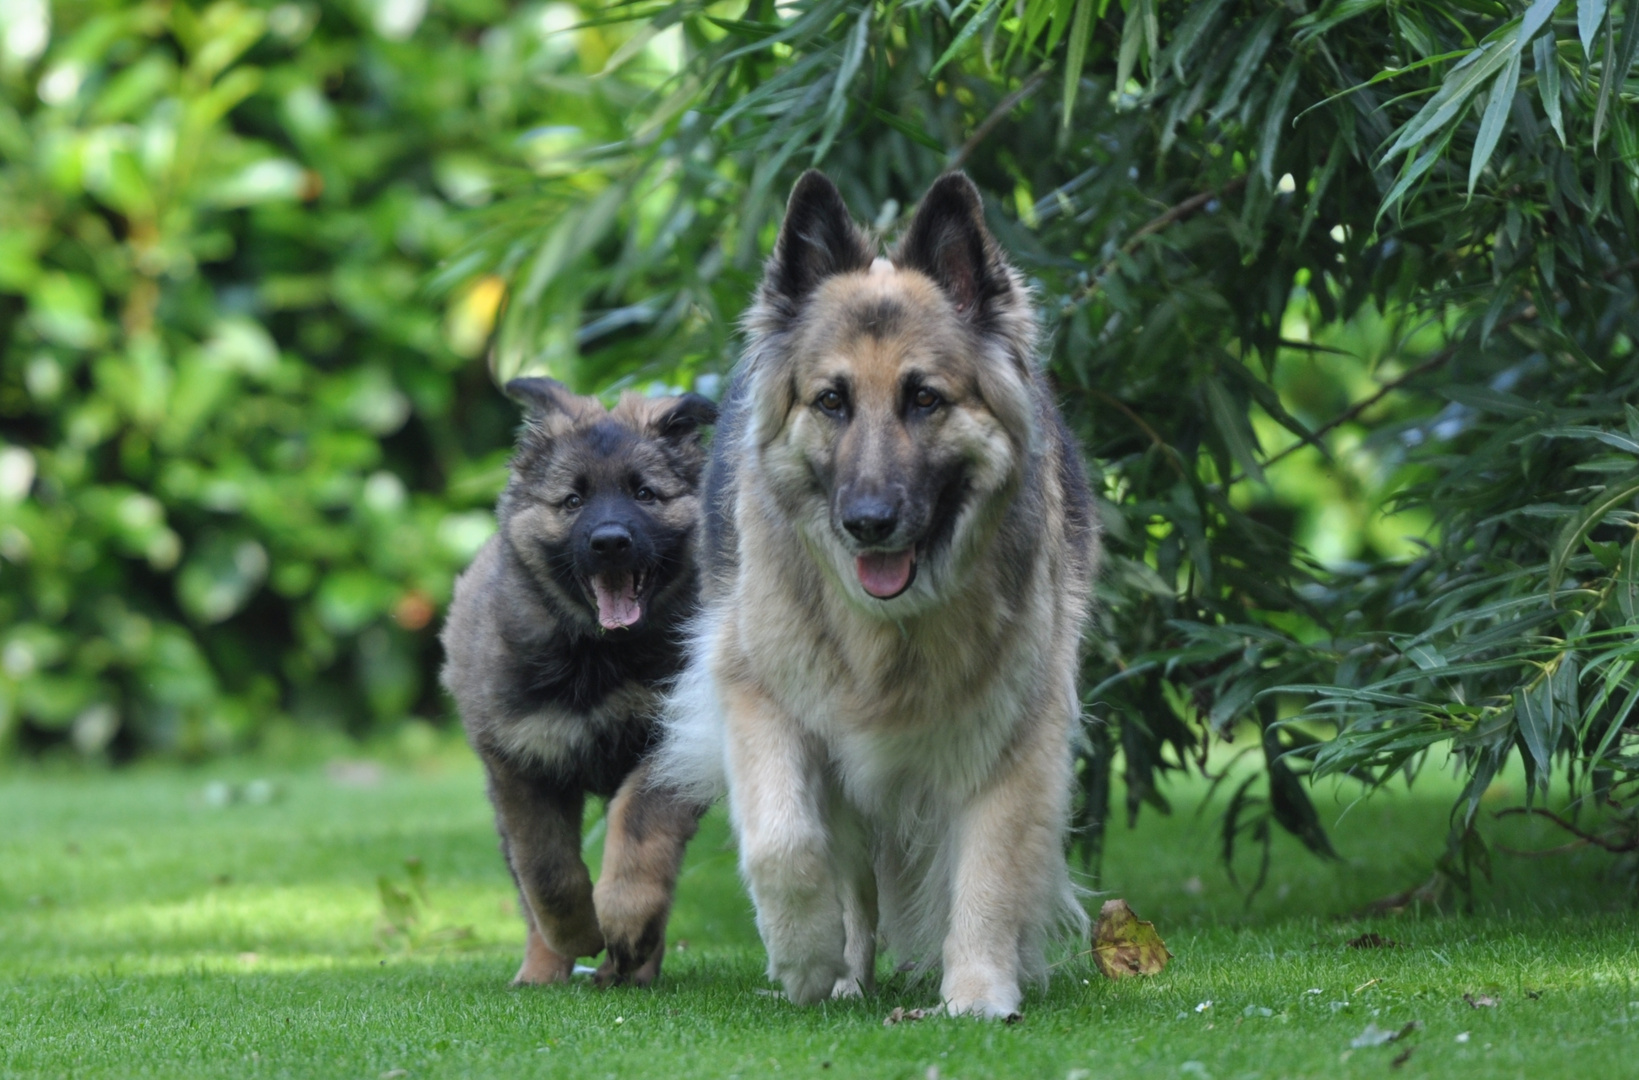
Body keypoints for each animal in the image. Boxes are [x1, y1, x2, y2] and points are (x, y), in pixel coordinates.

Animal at [439, 378, 714, 989]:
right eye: (572, 501)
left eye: (644, 494)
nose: (610, 542)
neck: (599, 656)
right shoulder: (522, 764)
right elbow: (546, 871)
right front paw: (575, 936)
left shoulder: (671, 747)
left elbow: (638, 831)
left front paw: (624, 922)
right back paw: (542, 970)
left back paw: (633, 963)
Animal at [662, 172, 1101, 1016]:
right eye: (831, 401)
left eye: (923, 399)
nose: (867, 524)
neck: (890, 630)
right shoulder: (759, 697)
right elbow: (783, 844)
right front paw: (804, 959)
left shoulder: (1015, 731)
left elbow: (991, 866)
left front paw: (978, 990)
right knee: (849, 877)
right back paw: (844, 973)